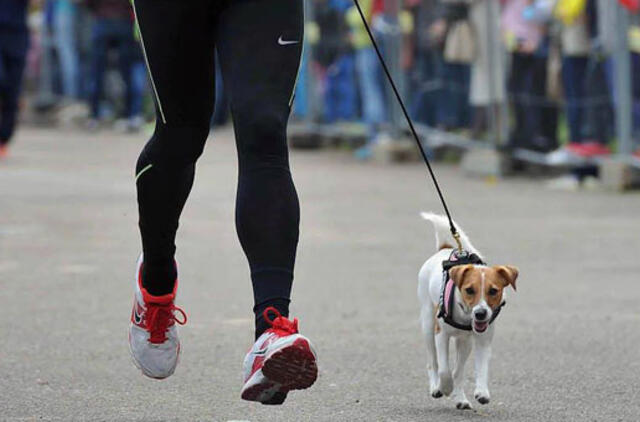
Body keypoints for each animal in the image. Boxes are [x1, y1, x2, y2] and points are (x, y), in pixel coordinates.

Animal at [418, 213, 516, 410]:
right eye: (469, 290)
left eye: (493, 291)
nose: (480, 313)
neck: (464, 313)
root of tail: (445, 248)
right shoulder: (441, 335)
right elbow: (444, 369)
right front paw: (445, 387)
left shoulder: (483, 340)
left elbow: (481, 368)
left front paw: (482, 391)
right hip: (428, 324)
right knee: (433, 362)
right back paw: (436, 387)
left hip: (465, 342)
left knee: (458, 371)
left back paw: (461, 399)